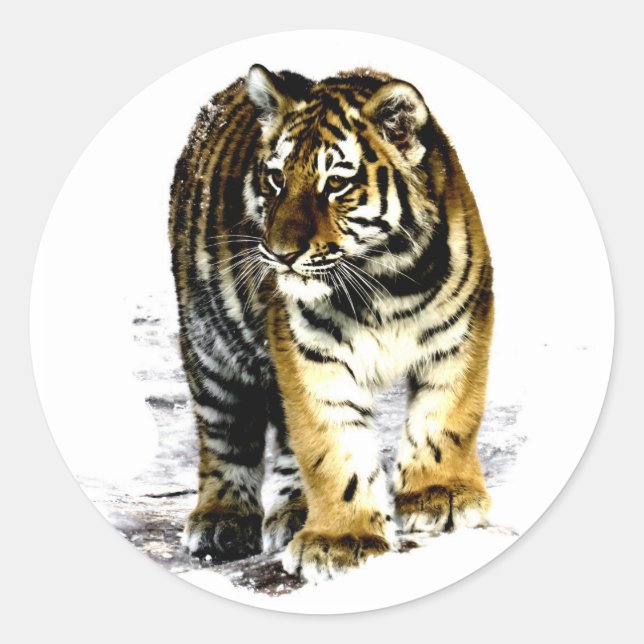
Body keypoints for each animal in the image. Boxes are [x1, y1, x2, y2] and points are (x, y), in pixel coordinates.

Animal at [168, 64, 494, 582]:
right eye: (276, 179)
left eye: (336, 184)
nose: (280, 254)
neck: (386, 281)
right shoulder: (310, 353)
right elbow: (332, 446)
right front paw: (343, 540)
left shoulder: (461, 330)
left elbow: (447, 416)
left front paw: (441, 496)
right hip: (211, 345)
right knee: (225, 433)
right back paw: (222, 522)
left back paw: (294, 512)